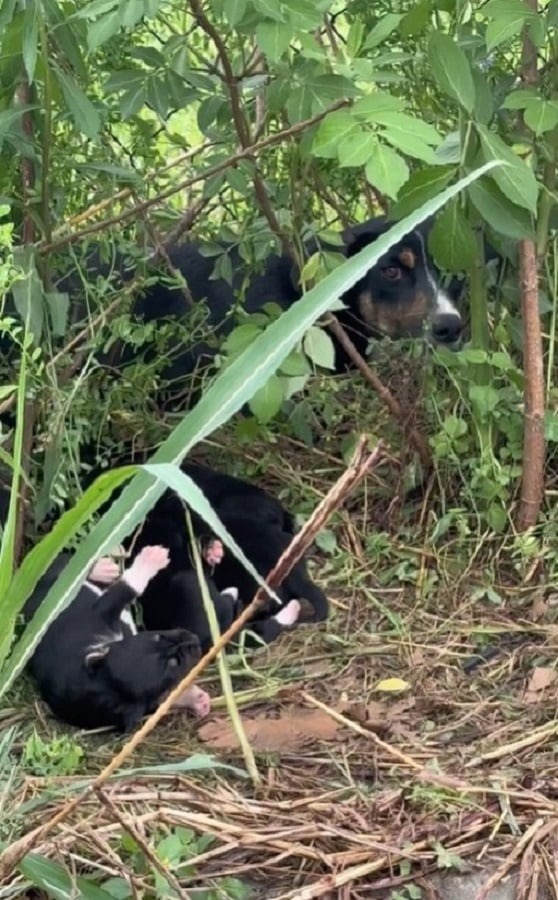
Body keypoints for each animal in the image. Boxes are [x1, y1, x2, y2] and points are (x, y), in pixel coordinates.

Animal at [24, 540, 213, 732]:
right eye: (173, 664)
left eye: (157, 637)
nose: (194, 639)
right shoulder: (103, 609)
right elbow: (127, 587)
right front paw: (152, 558)